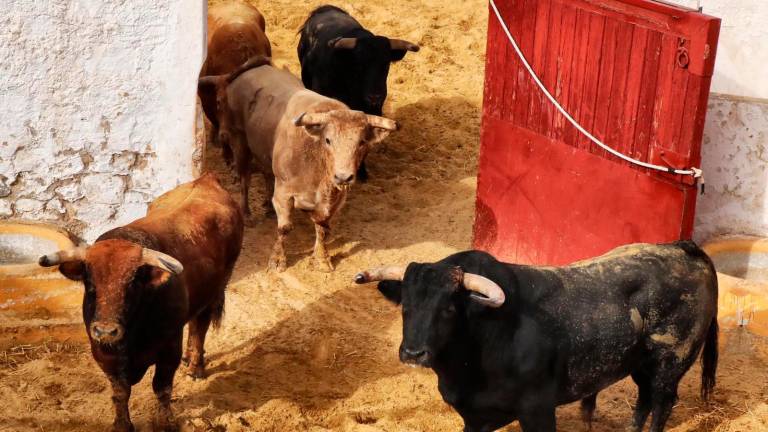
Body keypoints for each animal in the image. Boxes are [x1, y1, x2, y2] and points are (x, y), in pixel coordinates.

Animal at [38, 174, 243, 432]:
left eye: (133, 284)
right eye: (89, 282)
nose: (106, 331)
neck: (133, 336)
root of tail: (207, 179)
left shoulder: (168, 350)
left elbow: (162, 388)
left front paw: (165, 423)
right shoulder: (104, 354)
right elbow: (120, 393)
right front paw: (122, 424)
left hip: (215, 291)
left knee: (199, 327)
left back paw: (195, 367)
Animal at [356, 241, 716, 430]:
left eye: (448, 308)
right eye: (406, 306)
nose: (413, 353)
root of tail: (686, 248)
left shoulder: (538, 411)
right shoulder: (474, 417)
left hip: (670, 364)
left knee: (661, 403)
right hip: (640, 365)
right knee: (643, 399)